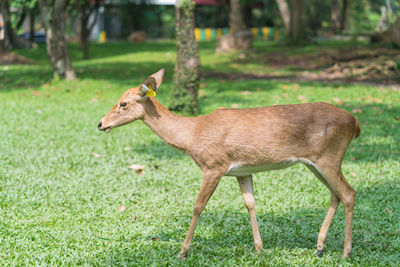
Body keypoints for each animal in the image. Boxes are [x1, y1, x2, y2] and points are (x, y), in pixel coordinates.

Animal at [98, 68, 360, 260]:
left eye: (123, 103)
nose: (100, 124)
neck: (191, 135)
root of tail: (355, 123)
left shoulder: (214, 165)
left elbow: (198, 206)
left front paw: (182, 251)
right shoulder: (242, 171)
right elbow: (250, 203)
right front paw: (259, 248)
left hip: (329, 156)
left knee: (348, 192)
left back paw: (346, 252)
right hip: (315, 162)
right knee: (335, 194)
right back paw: (319, 247)